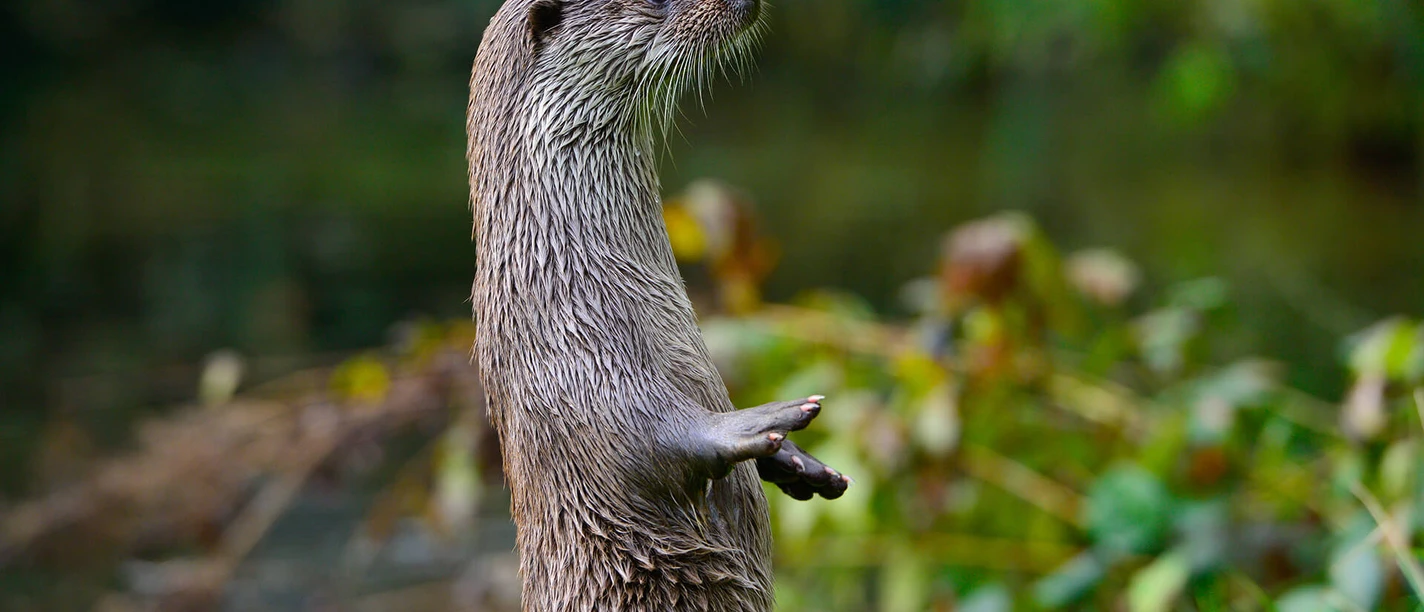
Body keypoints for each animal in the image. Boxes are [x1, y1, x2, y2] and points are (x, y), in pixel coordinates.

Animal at [465, 0, 849, 608]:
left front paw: (795, 463)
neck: (564, 271)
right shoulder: (565, 360)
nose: (746, 0)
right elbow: (640, 440)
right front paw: (759, 421)